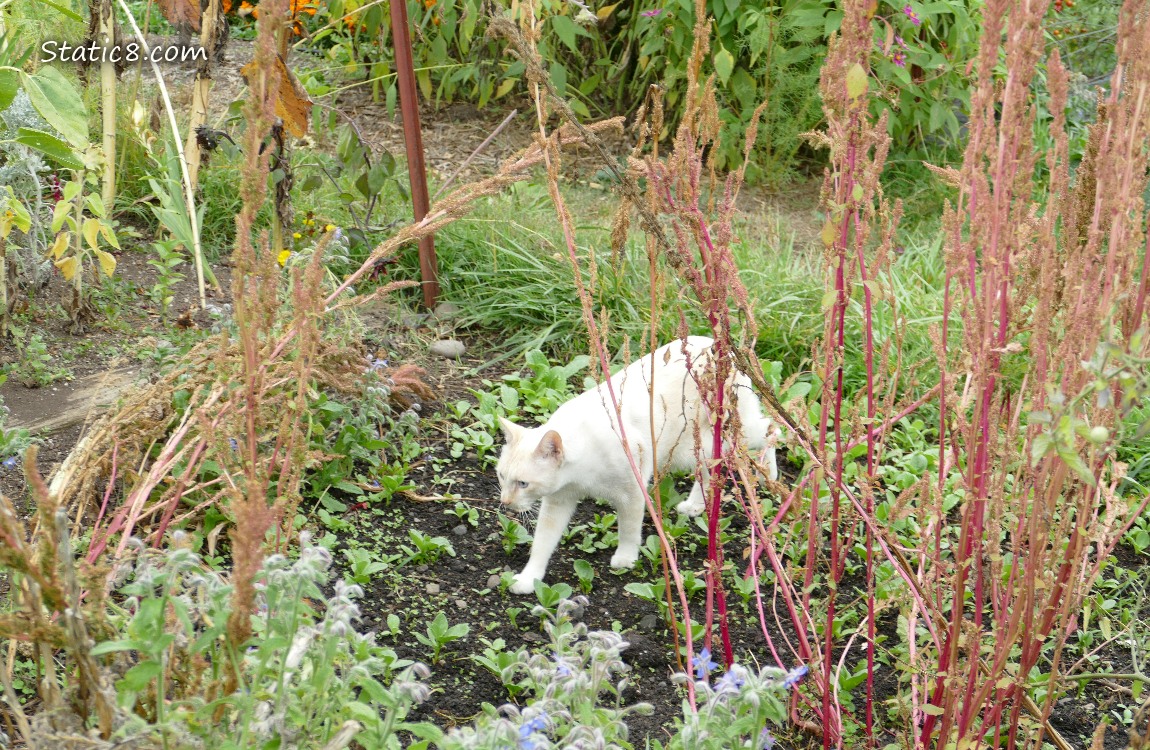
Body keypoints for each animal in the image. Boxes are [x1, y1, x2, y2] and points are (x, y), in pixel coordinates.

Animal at [494, 335, 782, 593]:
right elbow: (542, 543)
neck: (579, 474)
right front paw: (529, 579)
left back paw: (770, 476)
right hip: (699, 448)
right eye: (501, 477)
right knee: (709, 470)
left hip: (729, 437)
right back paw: (696, 505)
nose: (505, 502)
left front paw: (625, 558)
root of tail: (718, 344)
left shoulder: (632, 494)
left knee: (772, 428)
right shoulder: (557, 502)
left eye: (523, 484)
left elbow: (629, 530)